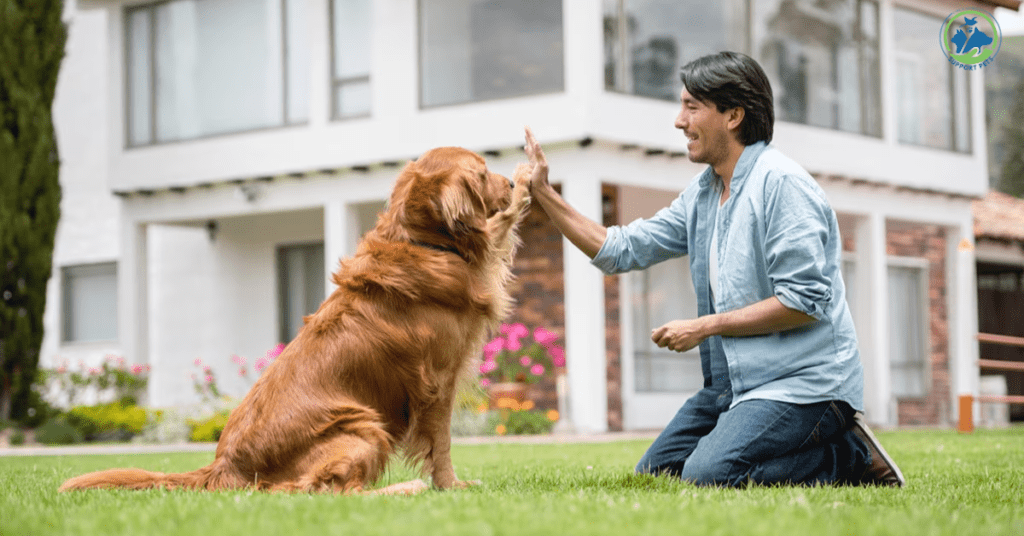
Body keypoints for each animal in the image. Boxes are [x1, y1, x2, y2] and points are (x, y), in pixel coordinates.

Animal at [59, 146, 532, 496]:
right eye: (482, 172)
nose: (508, 182)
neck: (422, 242)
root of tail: (223, 465)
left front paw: (526, 184)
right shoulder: (437, 382)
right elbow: (442, 444)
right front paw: (450, 485)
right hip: (362, 425)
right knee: (325, 491)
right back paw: (404, 489)